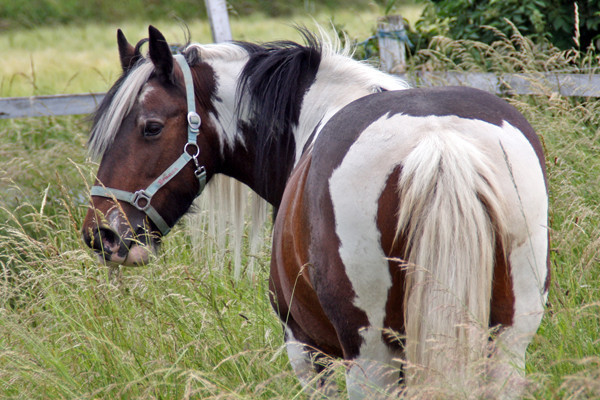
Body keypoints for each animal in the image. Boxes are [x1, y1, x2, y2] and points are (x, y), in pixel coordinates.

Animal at [82, 26, 552, 398]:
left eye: (151, 127)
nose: (102, 233)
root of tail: (438, 141)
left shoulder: (305, 349)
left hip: (370, 359)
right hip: (507, 343)